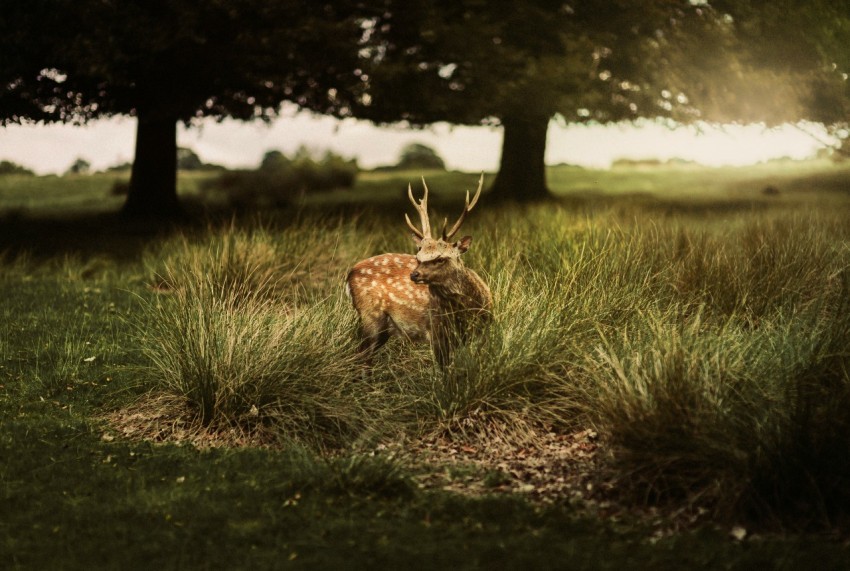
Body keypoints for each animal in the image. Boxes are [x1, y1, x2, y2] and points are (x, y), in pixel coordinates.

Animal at [344, 174, 490, 368]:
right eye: (418, 256)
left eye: (441, 258)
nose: (414, 274)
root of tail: (349, 275)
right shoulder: (436, 331)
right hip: (371, 315)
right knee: (360, 355)